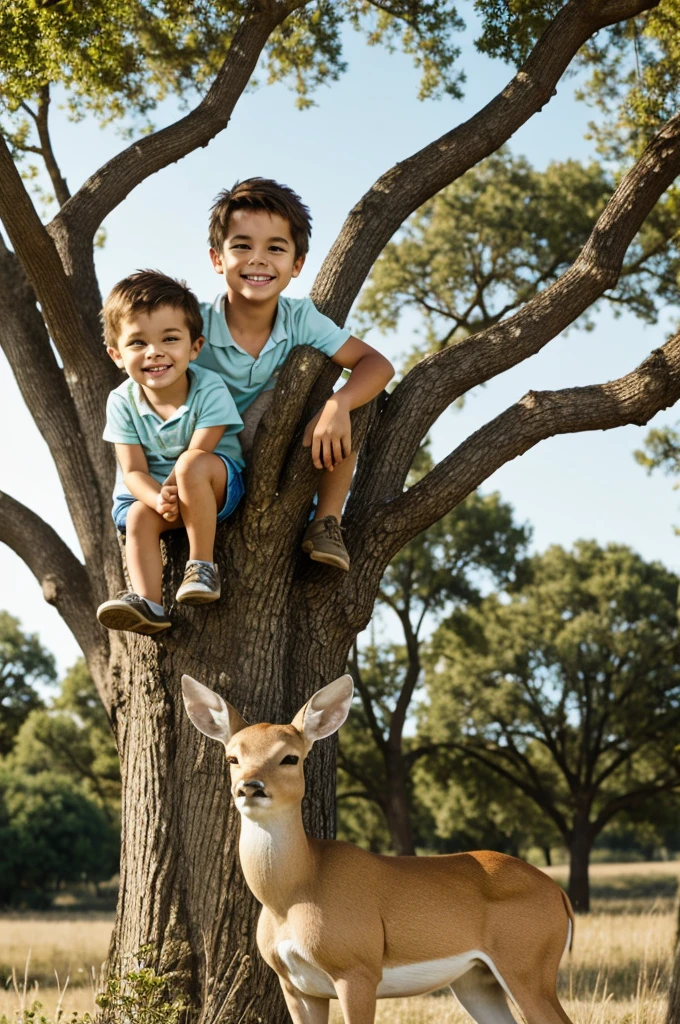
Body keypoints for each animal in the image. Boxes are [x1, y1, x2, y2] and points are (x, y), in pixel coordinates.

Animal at [182, 671, 573, 1024]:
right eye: (233, 758)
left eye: (290, 757)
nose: (250, 787)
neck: (294, 892)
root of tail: (560, 894)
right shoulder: (296, 985)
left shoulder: (357, 968)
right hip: (475, 980)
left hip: (527, 966)